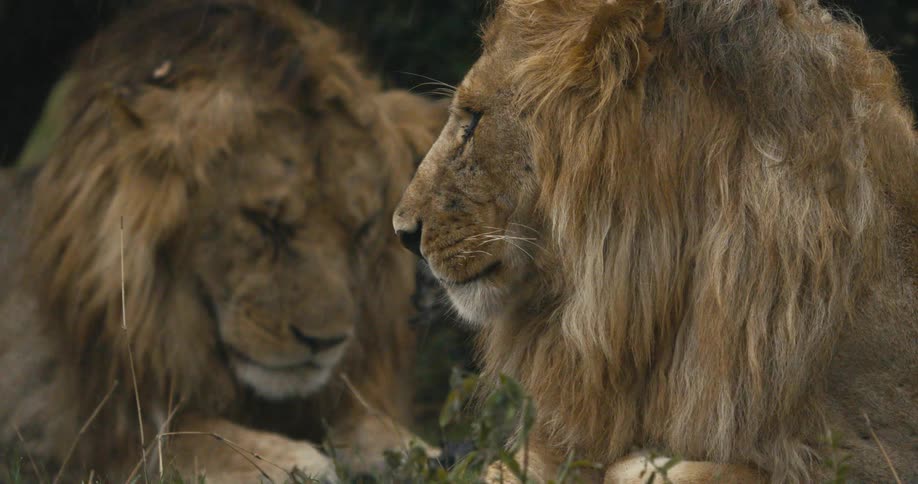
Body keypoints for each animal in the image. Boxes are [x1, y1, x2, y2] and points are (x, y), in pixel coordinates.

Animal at [0, 0, 446, 481]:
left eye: (361, 229)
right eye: (264, 223)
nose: (325, 344)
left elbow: (366, 421)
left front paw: (413, 450)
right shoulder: (65, 423)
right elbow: (179, 434)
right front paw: (285, 460)